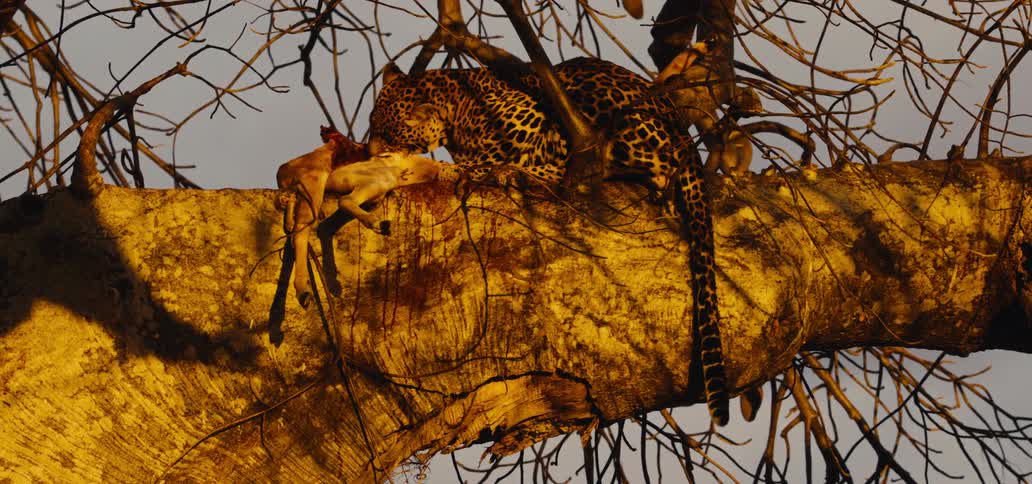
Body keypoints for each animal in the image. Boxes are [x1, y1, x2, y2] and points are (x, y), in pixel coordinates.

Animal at [367, 57, 730, 426]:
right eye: (372, 125)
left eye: (391, 133)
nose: (370, 151)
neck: (456, 108)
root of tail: (684, 135)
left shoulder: (539, 128)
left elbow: (504, 160)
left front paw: (455, 168)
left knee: (656, 163)